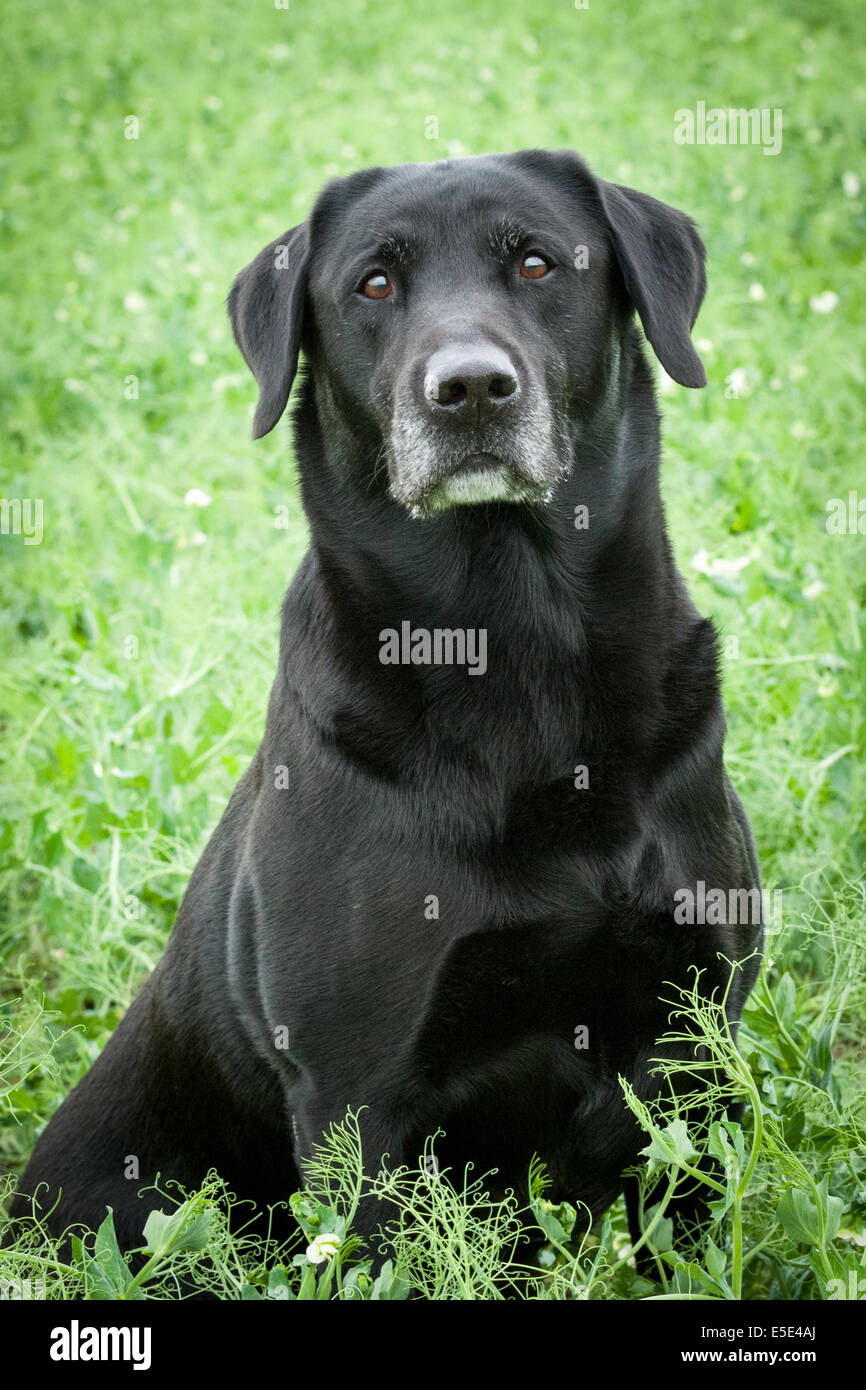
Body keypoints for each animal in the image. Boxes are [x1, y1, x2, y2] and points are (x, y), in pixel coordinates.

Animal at [11, 149, 756, 1273]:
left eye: (537, 263)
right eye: (371, 285)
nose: (470, 389)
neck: (513, 645)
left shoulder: (696, 1046)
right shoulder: (357, 1100)